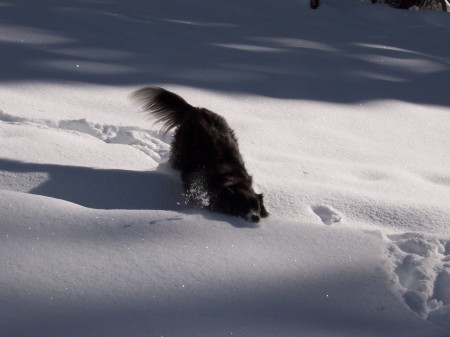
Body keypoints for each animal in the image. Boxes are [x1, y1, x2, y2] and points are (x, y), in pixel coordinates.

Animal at [132, 88, 268, 222]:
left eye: (257, 207)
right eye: (243, 207)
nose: (256, 217)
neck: (235, 182)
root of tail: (196, 109)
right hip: (182, 149)